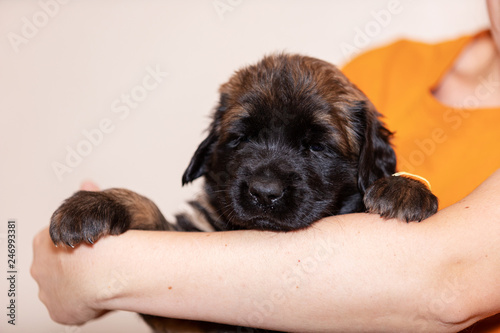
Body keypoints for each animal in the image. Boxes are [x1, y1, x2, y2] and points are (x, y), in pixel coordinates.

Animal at [47, 53, 438, 330]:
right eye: (240, 139)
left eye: (317, 146)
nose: (264, 192)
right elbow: (148, 209)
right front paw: (93, 204)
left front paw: (403, 188)